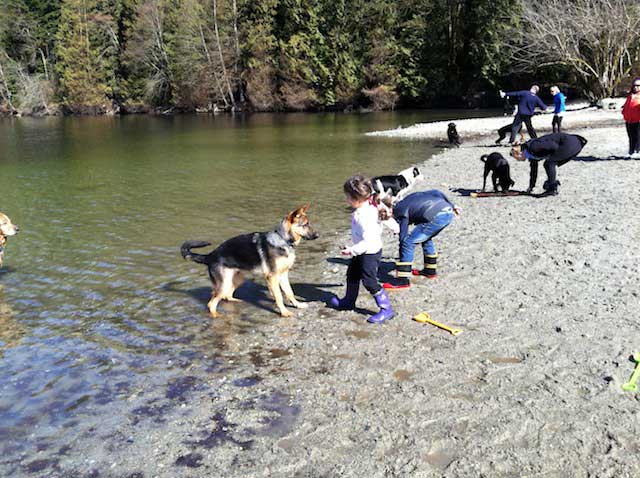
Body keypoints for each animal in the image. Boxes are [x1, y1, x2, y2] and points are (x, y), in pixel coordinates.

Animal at [180, 204, 318, 318]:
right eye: (305, 224)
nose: (318, 235)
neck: (283, 239)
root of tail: (210, 255)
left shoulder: (283, 275)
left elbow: (290, 292)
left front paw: (297, 305)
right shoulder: (273, 277)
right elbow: (279, 296)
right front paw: (284, 312)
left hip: (237, 279)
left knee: (226, 296)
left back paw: (235, 301)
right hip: (224, 284)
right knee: (211, 303)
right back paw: (216, 316)